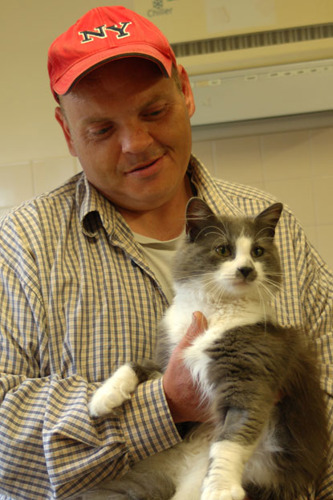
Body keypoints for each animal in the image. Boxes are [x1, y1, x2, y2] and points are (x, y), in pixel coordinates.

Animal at [87, 198, 326, 500]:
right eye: (223, 249)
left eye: (257, 252)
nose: (246, 269)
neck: (216, 310)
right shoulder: (169, 362)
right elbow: (134, 365)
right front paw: (103, 397)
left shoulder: (250, 378)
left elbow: (231, 440)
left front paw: (220, 488)